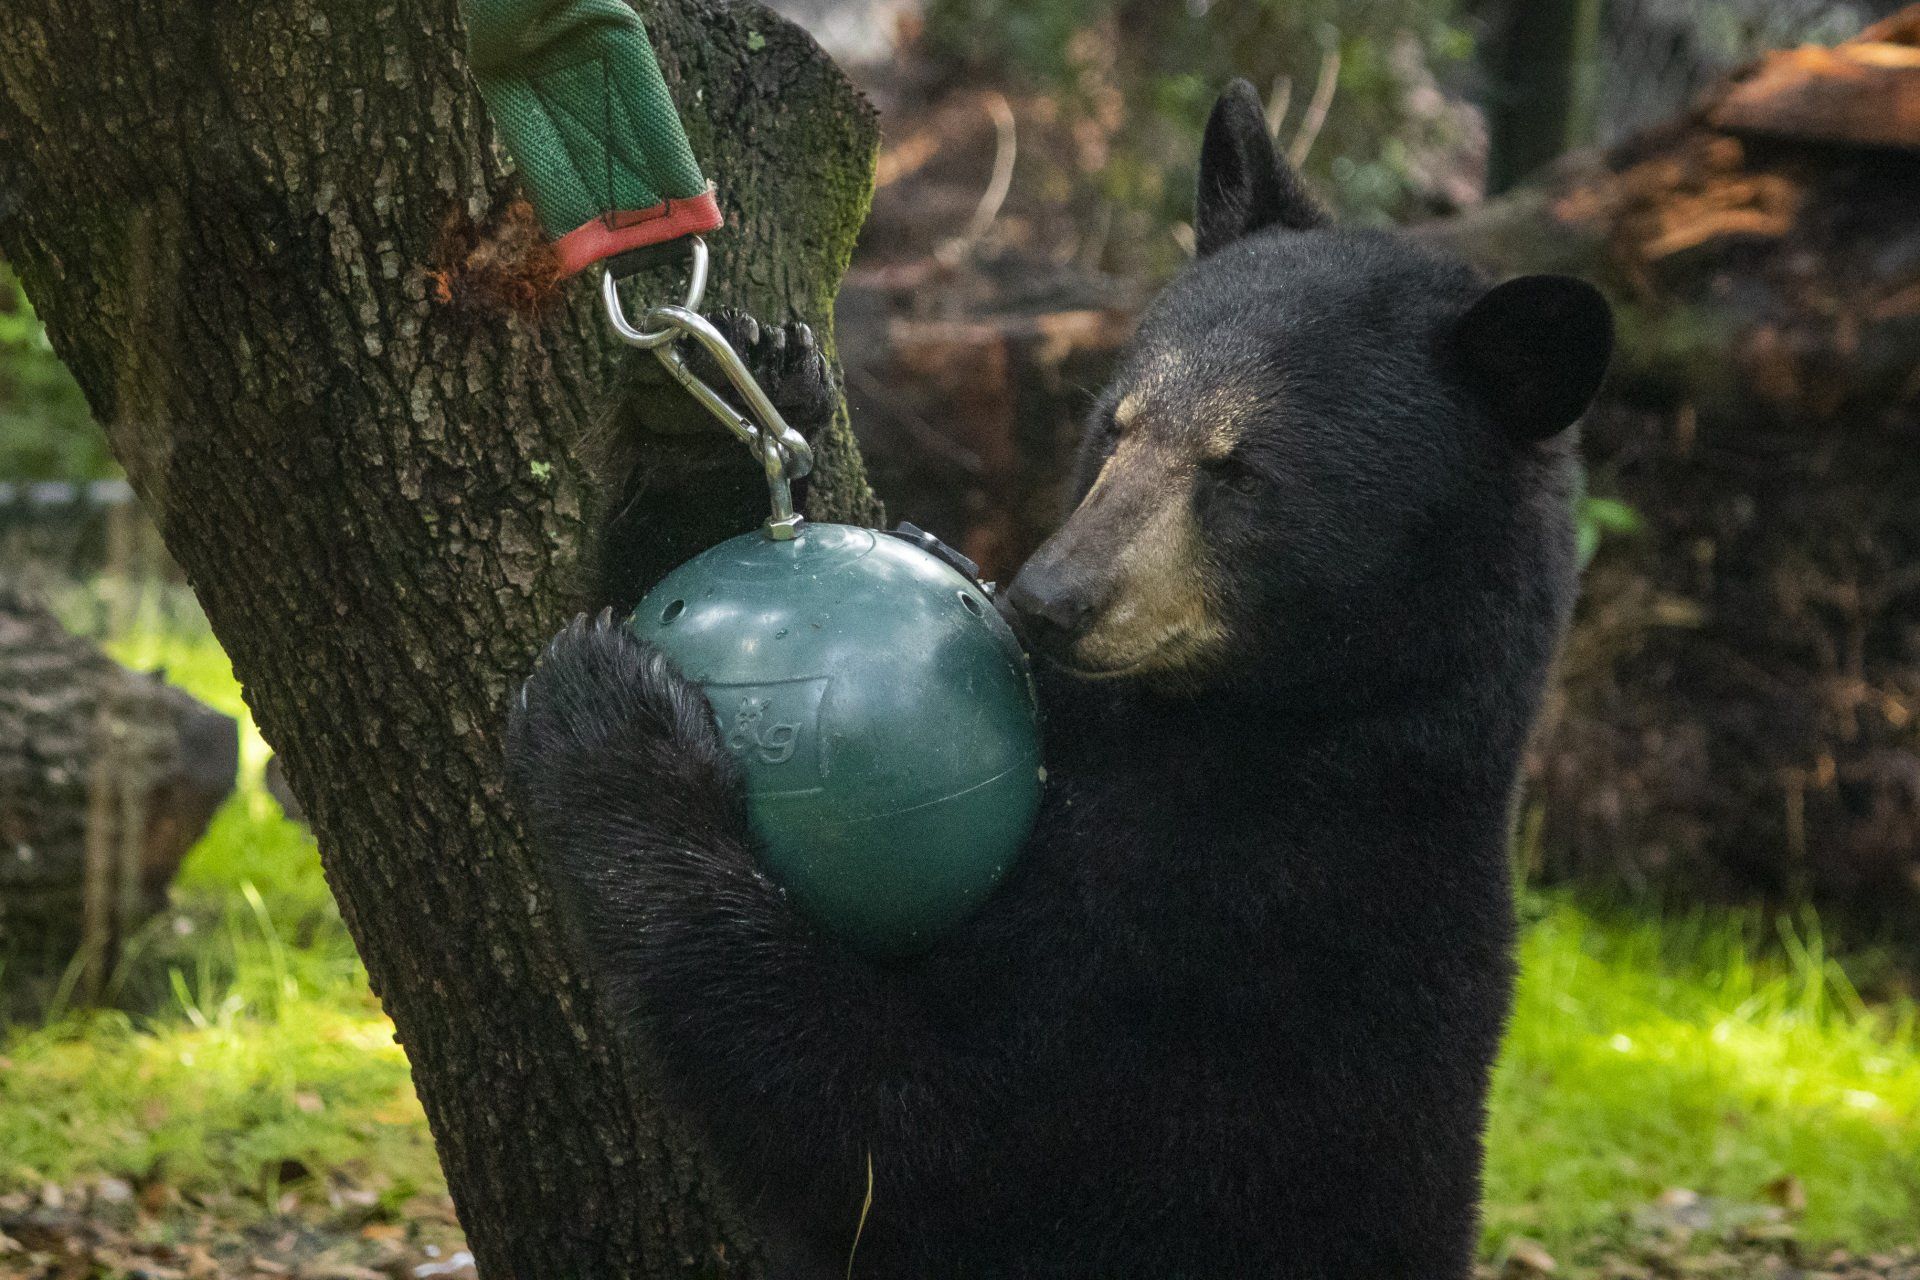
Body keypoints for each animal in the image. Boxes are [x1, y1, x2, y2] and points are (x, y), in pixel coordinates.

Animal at [506, 79, 1613, 1280]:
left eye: (1242, 474)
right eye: (1113, 422)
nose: (1048, 597)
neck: (1277, 723)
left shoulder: (1236, 936)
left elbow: (919, 1135)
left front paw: (615, 736)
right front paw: (716, 408)